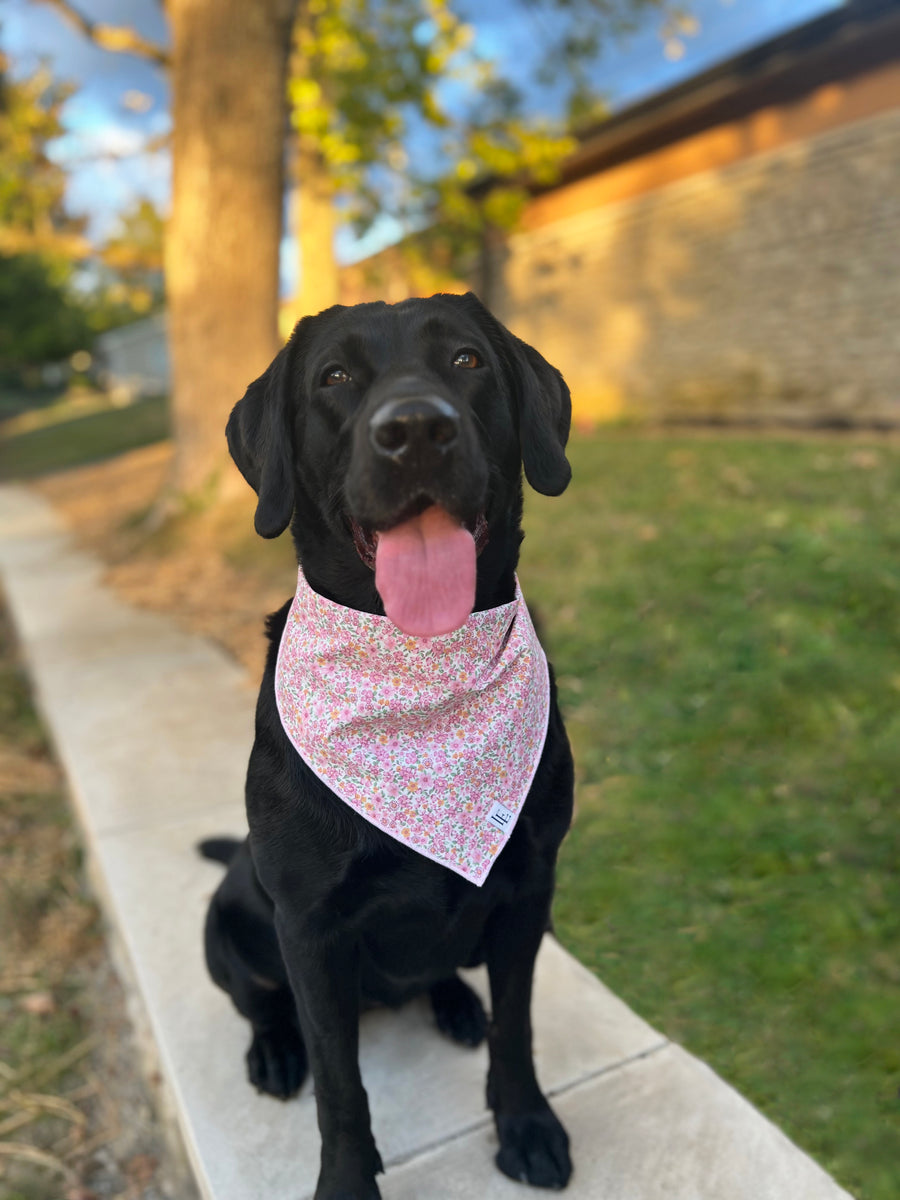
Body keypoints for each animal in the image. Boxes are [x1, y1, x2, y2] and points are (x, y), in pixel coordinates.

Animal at [204, 292, 578, 1200]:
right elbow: (341, 1085)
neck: (418, 668)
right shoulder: (308, 927)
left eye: (468, 360)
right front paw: (346, 1182)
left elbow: (518, 1027)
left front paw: (526, 1124)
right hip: (225, 922)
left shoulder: (530, 888)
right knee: (257, 1002)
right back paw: (274, 1049)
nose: (415, 429)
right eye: (335, 377)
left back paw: (455, 1004)